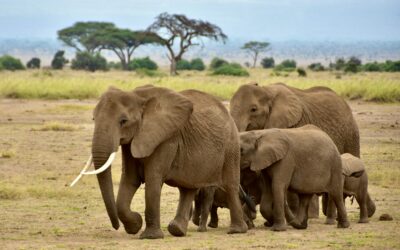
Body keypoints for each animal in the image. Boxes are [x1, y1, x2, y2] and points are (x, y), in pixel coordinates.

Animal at [71, 85, 247, 238]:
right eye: (93, 119)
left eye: (123, 121)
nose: (116, 226)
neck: (137, 97)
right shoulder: (134, 140)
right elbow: (130, 179)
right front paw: (135, 225)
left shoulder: (166, 139)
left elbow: (153, 179)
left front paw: (150, 236)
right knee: (188, 187)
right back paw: (177, 230)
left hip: (231, 146)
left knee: (230, 185)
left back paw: (236, 231)